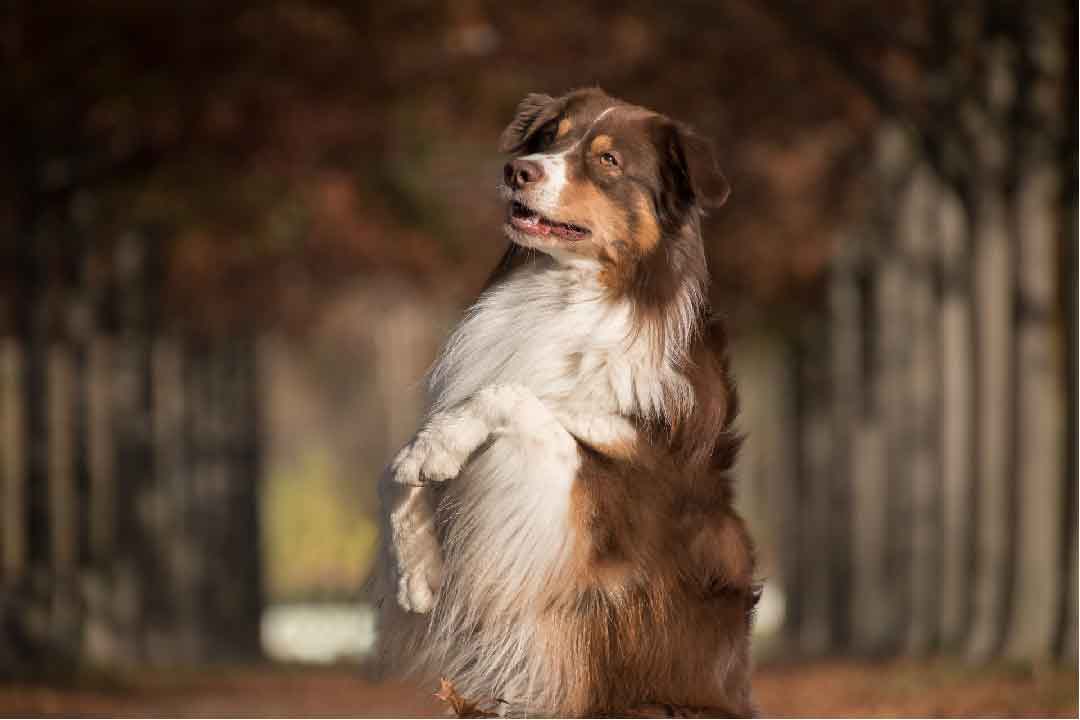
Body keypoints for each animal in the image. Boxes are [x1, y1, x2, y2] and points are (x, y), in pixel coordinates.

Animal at [380, 88, 760, 716]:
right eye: (548, 138)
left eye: (608, 161)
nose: (518, 171)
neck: (566, 293)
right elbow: (401, 466)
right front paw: (419, 570)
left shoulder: (603, 495)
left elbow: (520, 399)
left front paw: (441, 446)